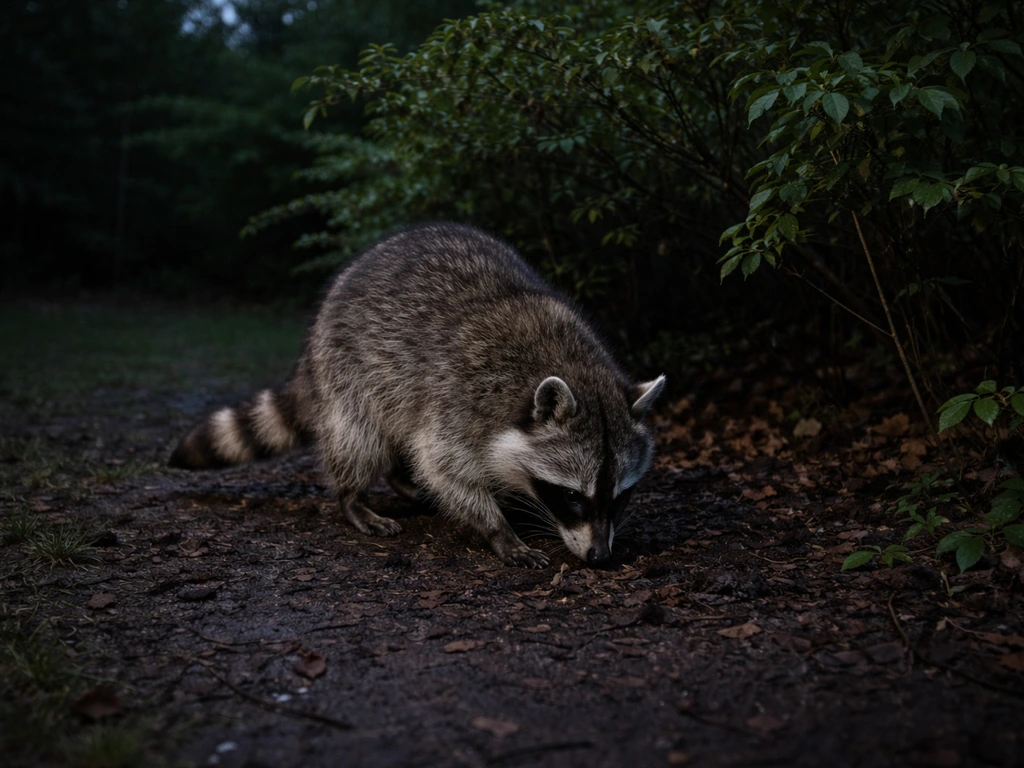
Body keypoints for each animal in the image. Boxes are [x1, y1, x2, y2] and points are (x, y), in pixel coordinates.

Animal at [170, 223, 664, 567]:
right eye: (573, 496)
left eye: (621, 496)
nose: (600, 558)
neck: (568, 361)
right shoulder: (459, 396)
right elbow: (442, 463)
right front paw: (497, 527)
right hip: (350, 369)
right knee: (360, 437)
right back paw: (353, 497)